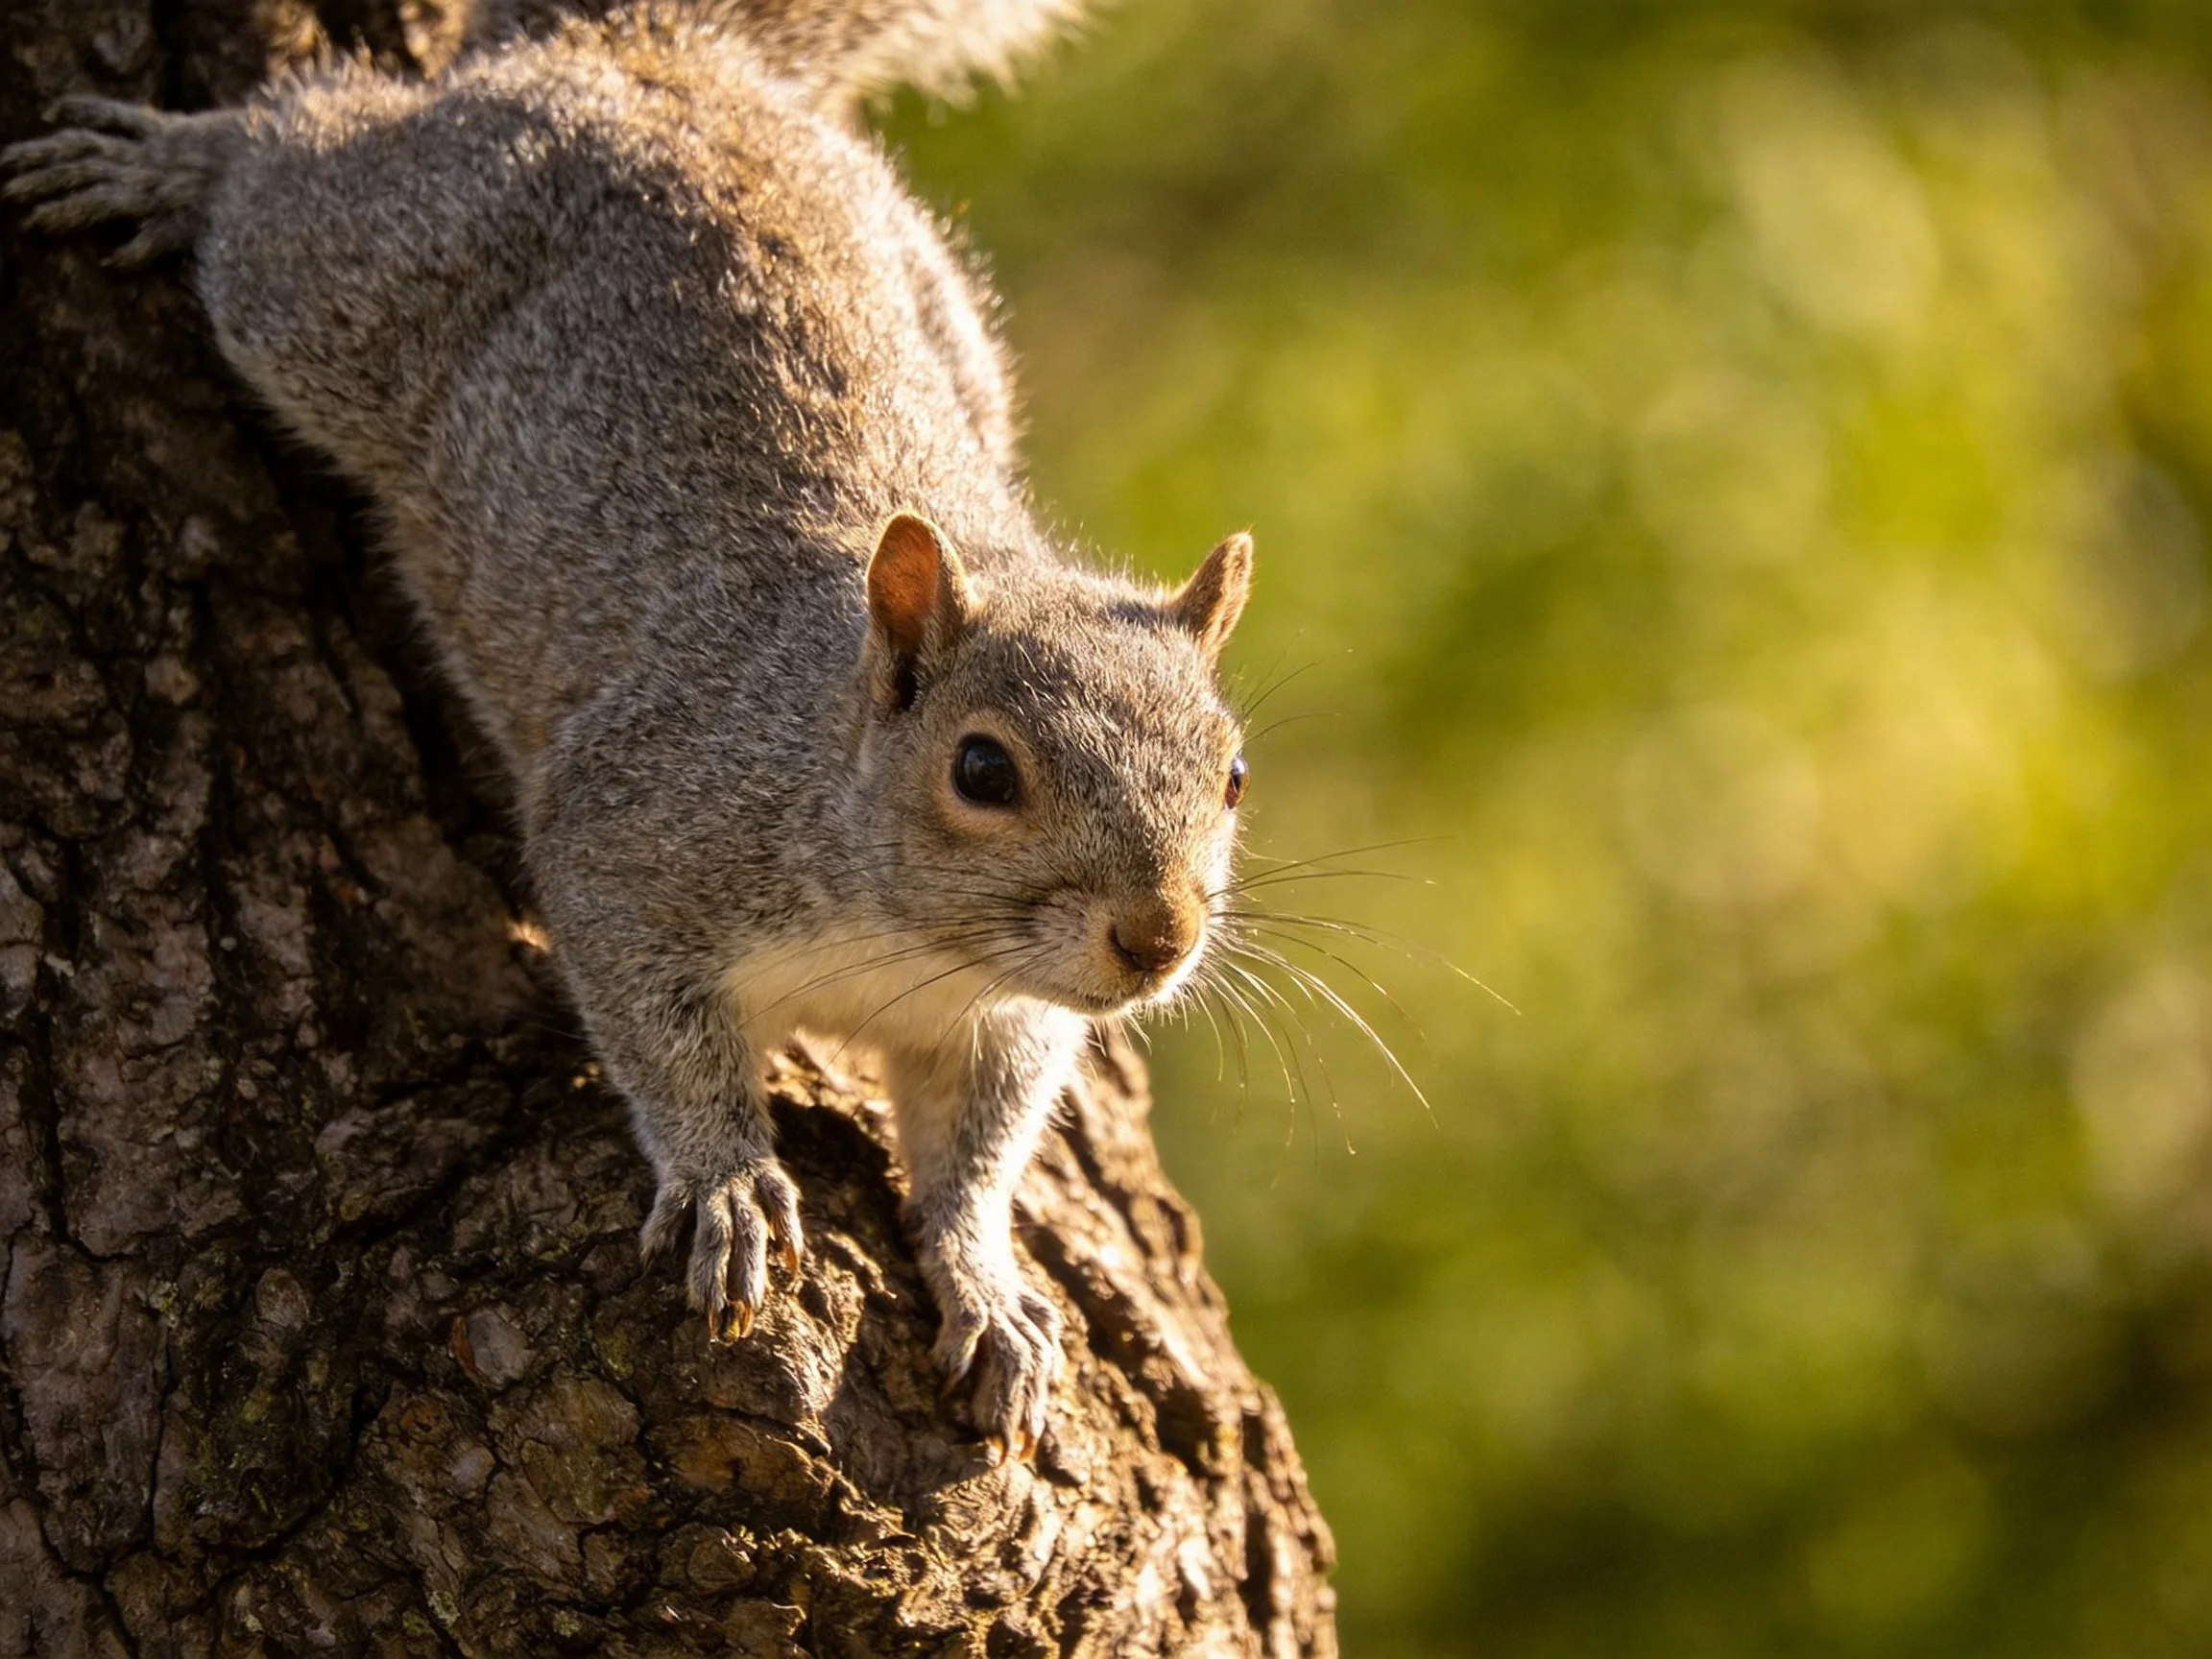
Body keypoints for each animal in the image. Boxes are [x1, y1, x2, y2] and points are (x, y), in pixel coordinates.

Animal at [3, 0, 1255, 1462]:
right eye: (983, 768)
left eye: (1233, 773)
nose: (1156, 938)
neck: (901, 926)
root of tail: (645, 54)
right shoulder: (639, 830)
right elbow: (656, 1026)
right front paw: (727, 1178)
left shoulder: (997, 1024)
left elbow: (980, 1148)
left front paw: (987, 1279)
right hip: (361, 280)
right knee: (290, 178)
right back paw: (180, 164)